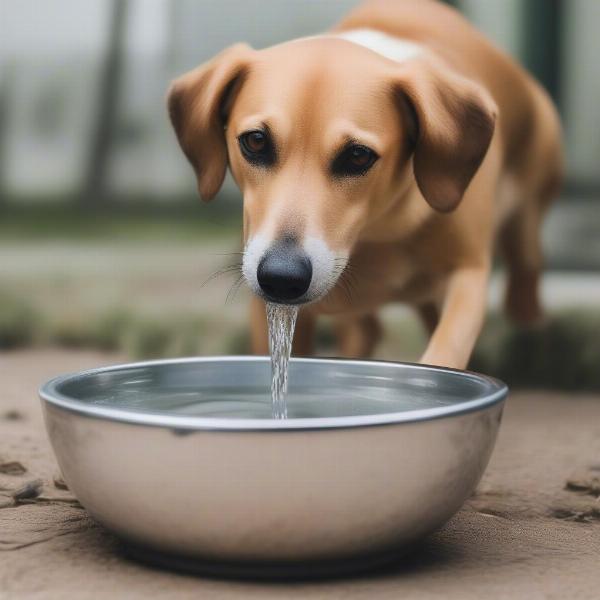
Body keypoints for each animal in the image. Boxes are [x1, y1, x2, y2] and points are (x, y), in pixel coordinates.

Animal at [168, 0, 564, 370]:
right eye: (255, 141)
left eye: (358, 156)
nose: (281, 277)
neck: (375, 231)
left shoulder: (468, 274)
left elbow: (445, 350)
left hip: (527, 221)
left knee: (525, 274)